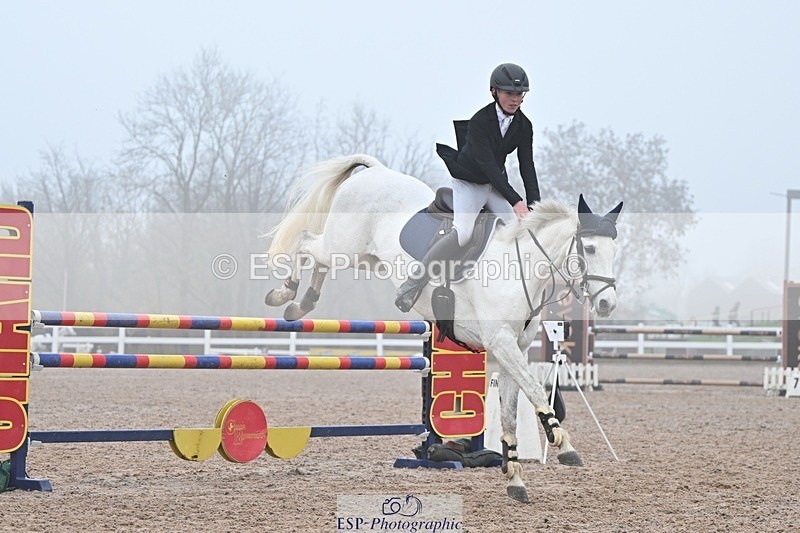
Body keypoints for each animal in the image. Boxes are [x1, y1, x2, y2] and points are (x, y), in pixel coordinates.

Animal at [265, 154, 623, 503]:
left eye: (613, 251)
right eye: (589, 249)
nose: (607, 304)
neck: (519, 266)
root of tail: (375, 170)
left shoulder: (515, 349)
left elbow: (510, 413)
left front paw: (515, 478)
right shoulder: (502, 343)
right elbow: (535, 390)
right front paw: (563, 444)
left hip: (361, 256)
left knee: (319, 261)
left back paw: (303, 303)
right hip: (343, 245)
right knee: (307, 243)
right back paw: (285, 293)